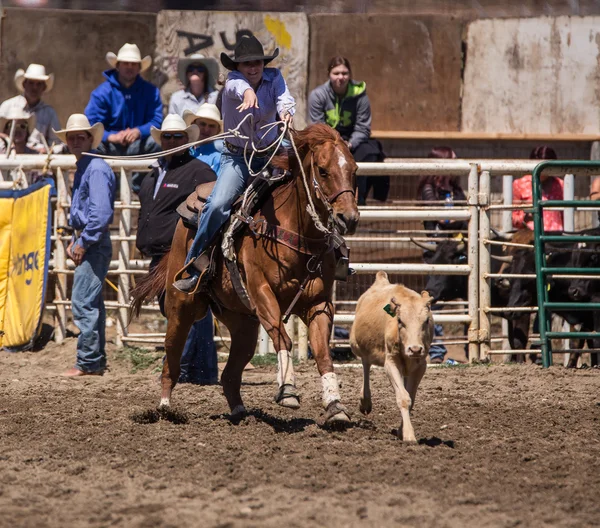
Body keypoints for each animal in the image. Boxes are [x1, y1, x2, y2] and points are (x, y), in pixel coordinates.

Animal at [131, 125, 358, 424]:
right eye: (322, 170)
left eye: (354, 169)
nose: (349, 218)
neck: (295, 232)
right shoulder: (262, 294)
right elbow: (283, 338)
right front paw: (287, 391)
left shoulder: (319, 303)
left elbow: (322, 353)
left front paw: (335, 406)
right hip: (181, 308)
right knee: (171, 360)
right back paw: (166, 408)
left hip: (243, 324)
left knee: (229, 375)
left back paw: (240, 412)